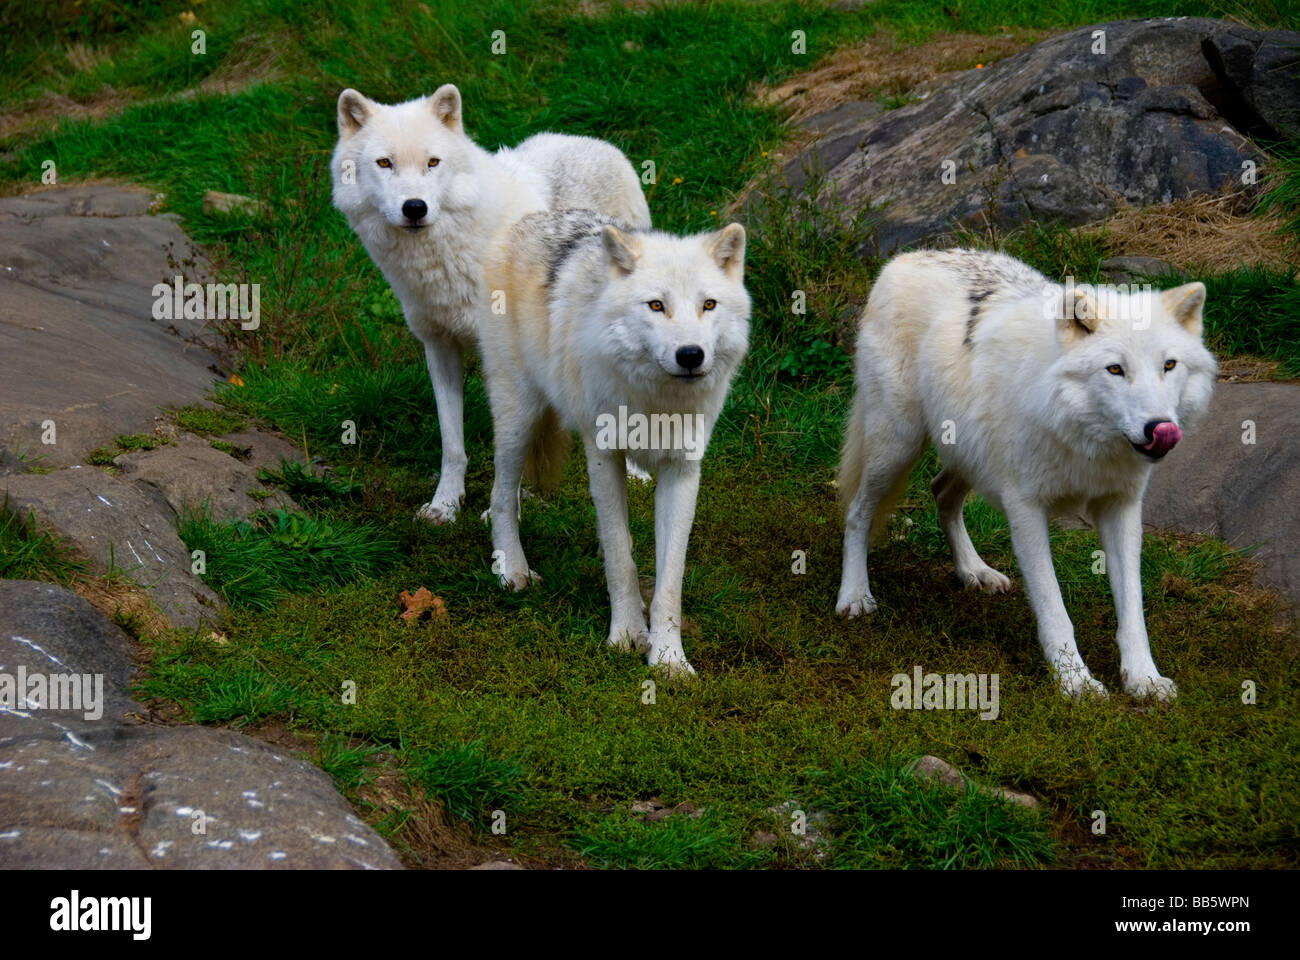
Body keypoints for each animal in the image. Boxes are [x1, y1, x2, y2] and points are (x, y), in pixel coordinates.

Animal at [327, 85, 647, 522]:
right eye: (384, 163)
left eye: (433, 162)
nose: (415, 208)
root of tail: (598, 143)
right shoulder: (439, 346)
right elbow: (452, 444)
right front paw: (444, 506)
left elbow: (511, 451)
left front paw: (502, 513)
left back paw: (635, 472)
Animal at [480, 209, 754, 671]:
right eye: (657, 305)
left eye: (708, 305)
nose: (691, 355)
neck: (657, 401)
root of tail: (532, 219)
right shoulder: (604, 455)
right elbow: (620, 559)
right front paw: (626, 634)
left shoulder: (683, 470)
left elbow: (669, 581)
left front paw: (669, 659)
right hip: (519, 418)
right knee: (501, 496)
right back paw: (512, 570)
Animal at [832, 251, 1216, 697]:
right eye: (1115, 370)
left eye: (1169, 365)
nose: (1160, 429)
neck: (1083, 438)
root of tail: (902, 259)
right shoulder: (1025, 507)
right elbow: (1054, 609)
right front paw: (1075, 682)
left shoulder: (1121, 507)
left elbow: (1133, 609)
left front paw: (1143, 679)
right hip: (898, 444)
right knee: (857, 511)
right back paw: (855, 595)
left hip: (970, 455)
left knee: (940, 492)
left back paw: (974, 571)